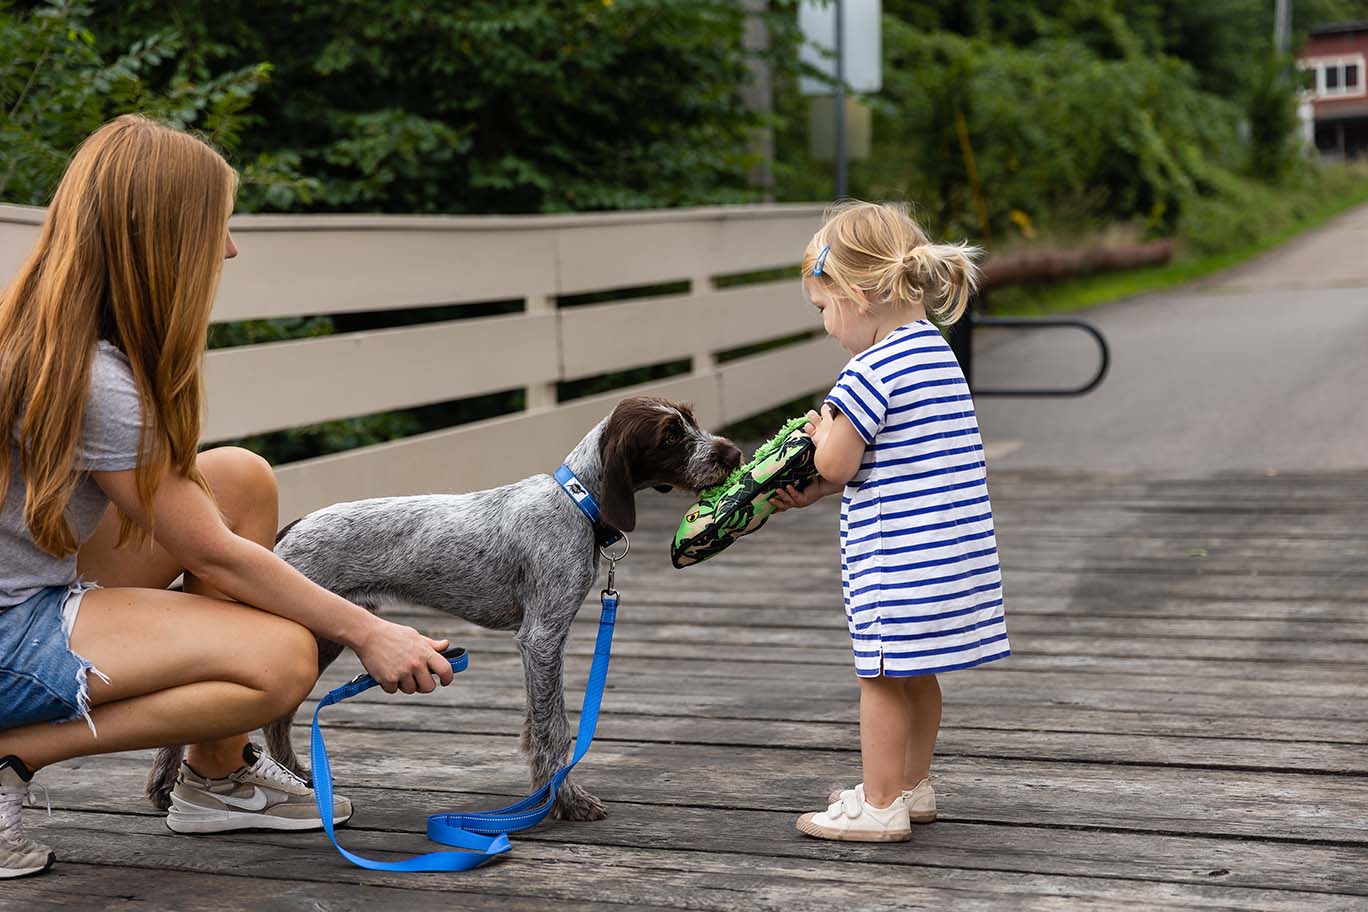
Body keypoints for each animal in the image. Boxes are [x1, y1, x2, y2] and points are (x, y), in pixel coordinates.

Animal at [147, 396, 738, 820]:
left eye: (692, 421)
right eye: (671, 435)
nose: (731, 453)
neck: (577, 502)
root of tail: (285, 533)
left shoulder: (541, 644)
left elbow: (538, 725)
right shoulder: (542, 637)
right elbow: (554, 730)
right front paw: (564, 801)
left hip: (323, 635)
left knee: (278, 717)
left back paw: (296, 778)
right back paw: (168, 784)